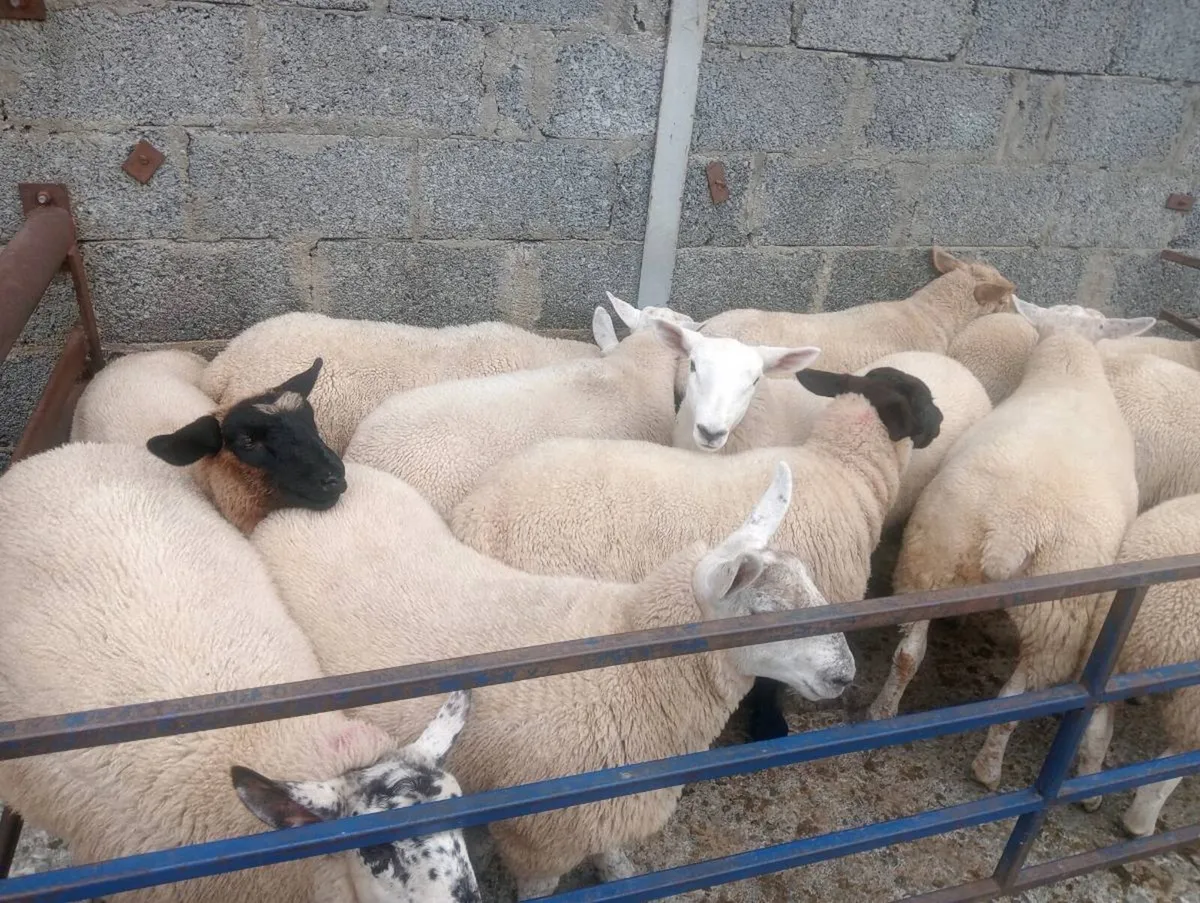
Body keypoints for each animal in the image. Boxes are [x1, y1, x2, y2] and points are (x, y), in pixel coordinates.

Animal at [250, 457, 855, 900]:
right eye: (763, 612)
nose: (845, 673)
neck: (632, 674)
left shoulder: (608, 806)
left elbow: (616, 862)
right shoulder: (539, 839)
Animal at [867, 300, 1156, 793]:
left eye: (1096, 325)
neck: (1069, 368)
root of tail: (1013, 531)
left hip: (932, 560)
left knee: (908, 655)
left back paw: (883, 713)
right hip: (1055, 619)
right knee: (1015, 701)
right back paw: (988, 768)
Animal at [1074, 493, 1200, 836]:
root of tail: (1165, 630)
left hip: (1110, 657)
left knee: (1097, 727)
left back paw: (1088, 788)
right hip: (1194, 703)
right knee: (1169, 768)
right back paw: (1139, 824)